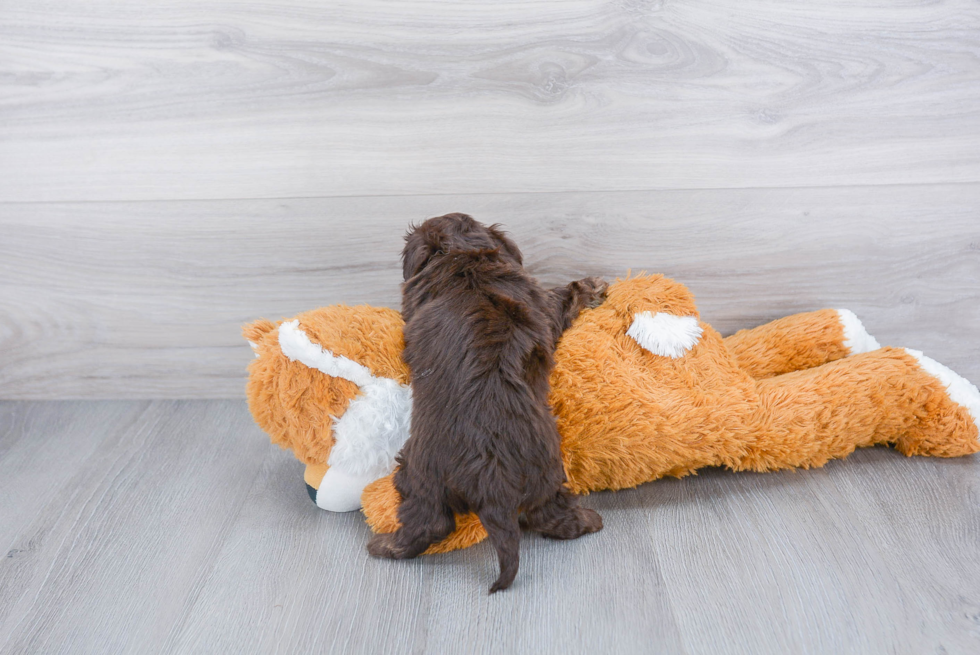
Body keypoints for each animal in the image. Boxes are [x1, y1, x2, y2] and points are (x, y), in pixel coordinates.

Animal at [368, 213, 604, 592]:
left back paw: (385, 546)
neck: (462, 258)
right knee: (548, 514)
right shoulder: (543, 306)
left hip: (418, 473)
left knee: (430, 522)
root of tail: (490, 478)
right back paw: (588, 520)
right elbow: (561, 297)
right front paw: (592, 286)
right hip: (543, 469)